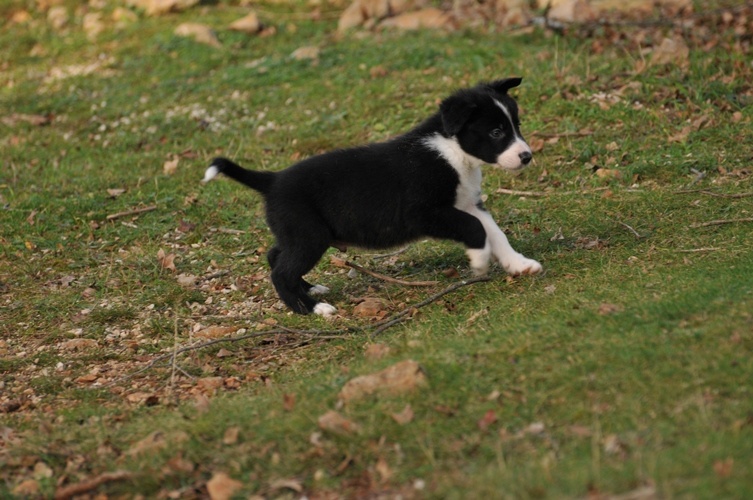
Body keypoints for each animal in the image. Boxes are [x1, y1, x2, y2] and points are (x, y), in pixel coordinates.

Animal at [200, 76, 540, 314]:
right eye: (496, 132)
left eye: (517, 125)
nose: (526, 156)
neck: (452, 150)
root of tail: (273, 180)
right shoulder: (423, 212)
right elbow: (476, 229)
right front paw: (479, 261)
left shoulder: (469, 203)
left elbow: (494, 232)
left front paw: (519, 264)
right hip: (309, 235)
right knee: (281, 273)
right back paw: (311, 309)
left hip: (295, 233)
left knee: (275, 256)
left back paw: (311, 290)